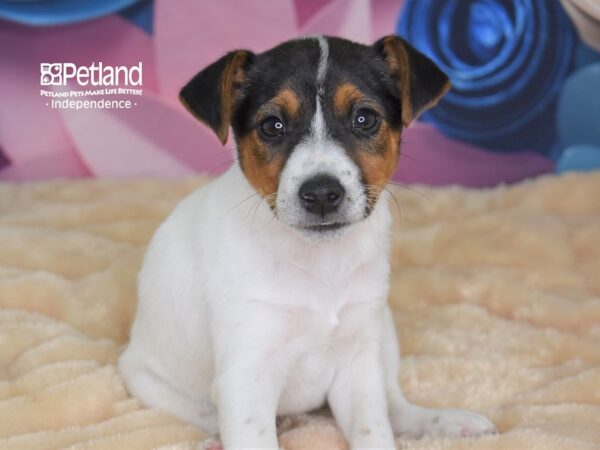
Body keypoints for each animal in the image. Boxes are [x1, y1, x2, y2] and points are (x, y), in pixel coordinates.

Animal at [118, 33, 496, 448]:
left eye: (364, 118)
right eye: (272, 125)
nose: (321, 195)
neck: (319, 262)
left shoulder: (358, 361)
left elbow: (375, 428)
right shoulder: (245, 374)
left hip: (383, 330)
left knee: (395, 405)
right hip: (148, 380)